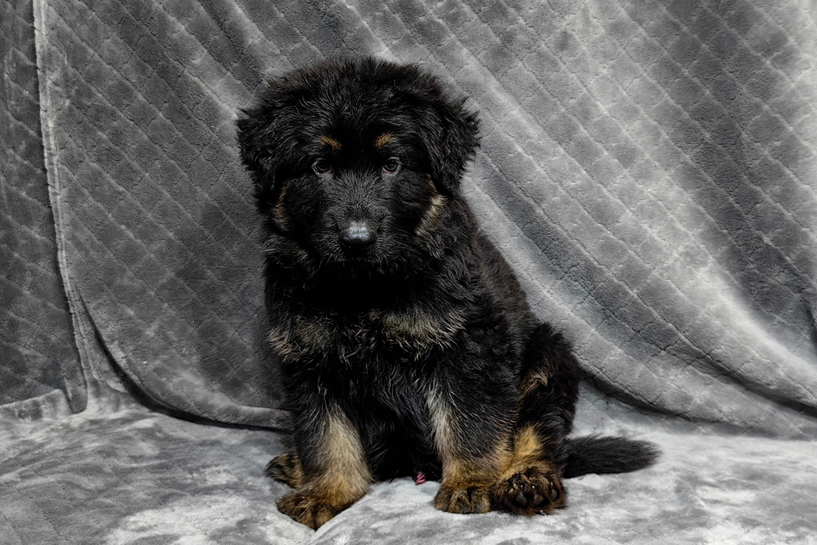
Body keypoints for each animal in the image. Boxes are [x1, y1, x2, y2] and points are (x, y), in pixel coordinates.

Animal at [237, 57, 657, 530]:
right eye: (319, 167)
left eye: (392, 164)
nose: (357, 239)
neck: (366, 289)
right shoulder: (311, 362)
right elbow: (326, 438)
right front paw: (327, 491)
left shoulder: (467, 348)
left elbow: (469, 424)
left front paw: (473, 482)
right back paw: (298, 466)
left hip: (548, 357)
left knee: (541, 434)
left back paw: (526, 481)